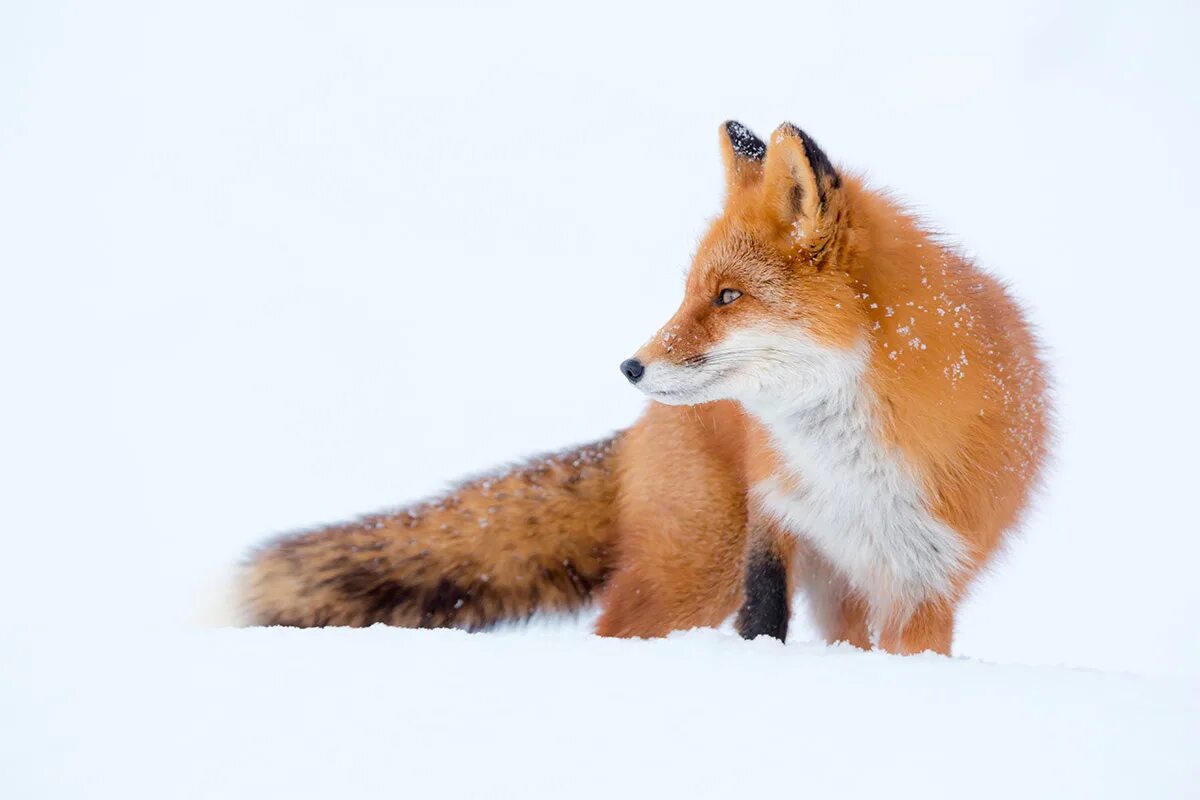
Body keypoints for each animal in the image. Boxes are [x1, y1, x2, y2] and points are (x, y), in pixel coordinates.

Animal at [243, 120, 1051, 657]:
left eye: (728, 297)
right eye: (692, 292)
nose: (630, 368)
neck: (853, 461)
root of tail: (641, 433)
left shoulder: (926, 583)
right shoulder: (773, 524)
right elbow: (763, 619)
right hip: (701, 568)